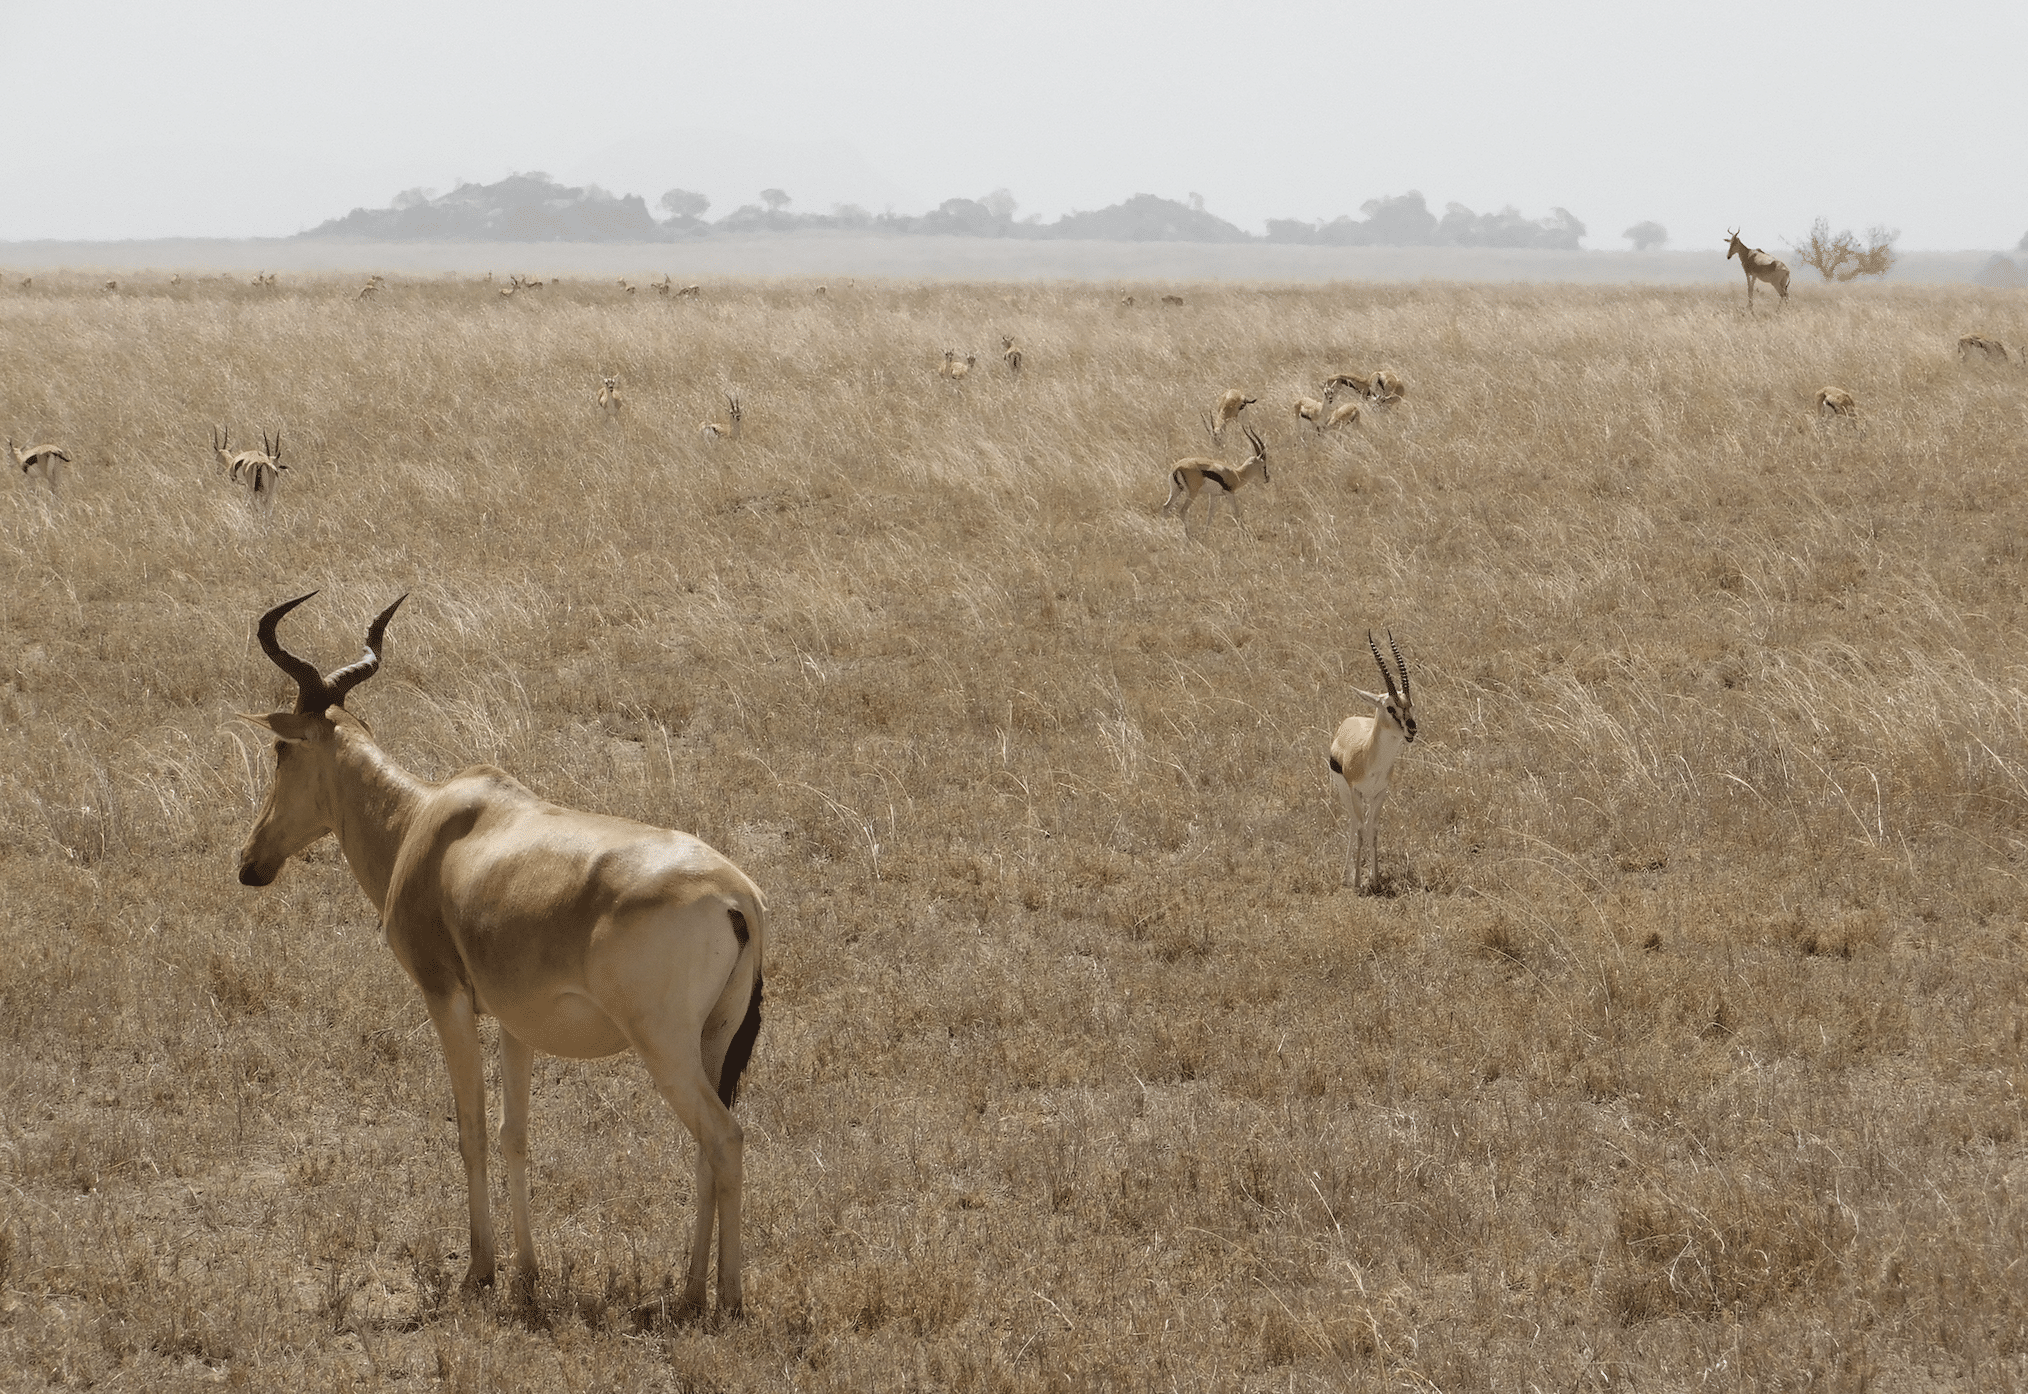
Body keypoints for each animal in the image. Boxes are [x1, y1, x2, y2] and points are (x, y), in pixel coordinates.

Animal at [235, 596, 766, 1322]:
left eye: (281, 747)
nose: (249, 864)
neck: (431, 822)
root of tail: (739, 896)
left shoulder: (445, 996)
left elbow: (472, 1127)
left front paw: (480, 1272)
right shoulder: (519, 1021)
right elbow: (516, 1133)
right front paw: (528, 1276)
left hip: (663, 1044)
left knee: (724, 1138)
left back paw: (727, 1301)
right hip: (713, 1039)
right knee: (705, 1150)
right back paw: (687, 1293)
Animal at [1330, 633, 1427, 892]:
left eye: (1410, 704)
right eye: (1390, 708)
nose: (1412, 729)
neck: (1370, 759)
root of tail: (1350, 719)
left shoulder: (1380, 793)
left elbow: (1373, 830)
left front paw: (1374, 879)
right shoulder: (1356, 792)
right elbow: (1361, 830)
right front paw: (1356, 881)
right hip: (1345, 792)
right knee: (1354, 822)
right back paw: (1345, 876)